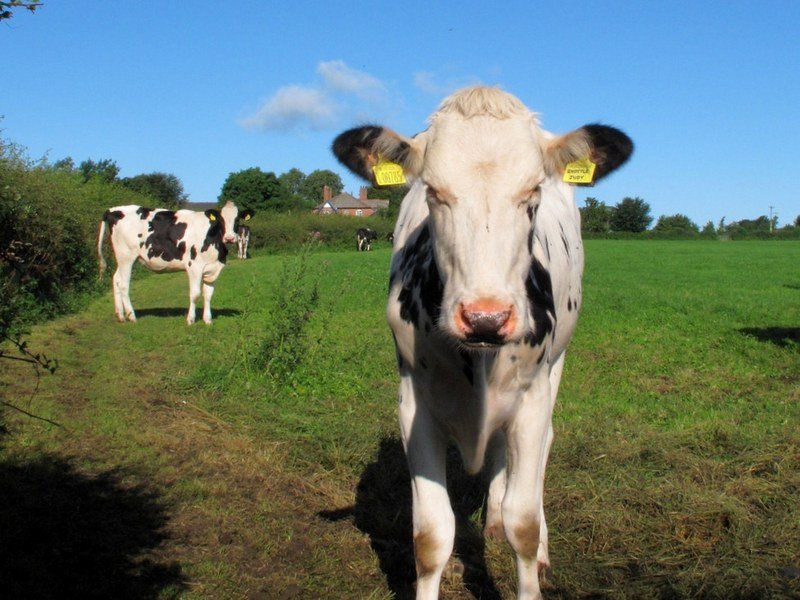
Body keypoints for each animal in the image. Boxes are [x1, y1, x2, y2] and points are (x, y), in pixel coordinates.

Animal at [97, 200, 255, 324]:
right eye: (221, 220)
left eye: (237, 220)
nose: (229, 238)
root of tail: (112, 210)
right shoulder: (194, 266)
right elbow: (195, 293)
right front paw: (190, 319)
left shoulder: (213, 268)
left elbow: (208, 294)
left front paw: (207, 319)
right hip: (126, 257)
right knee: (124, 284)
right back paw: (131, 316)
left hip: (124, 258)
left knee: (116, 279)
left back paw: (120, 315)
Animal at [332, 85, 632, 600]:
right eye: (433, 192)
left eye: (532, 192)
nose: (486, 318)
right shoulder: (414, 404)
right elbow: (431, 535)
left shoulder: (532, 398)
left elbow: (523, 524)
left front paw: (532, 557)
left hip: (556, 366)